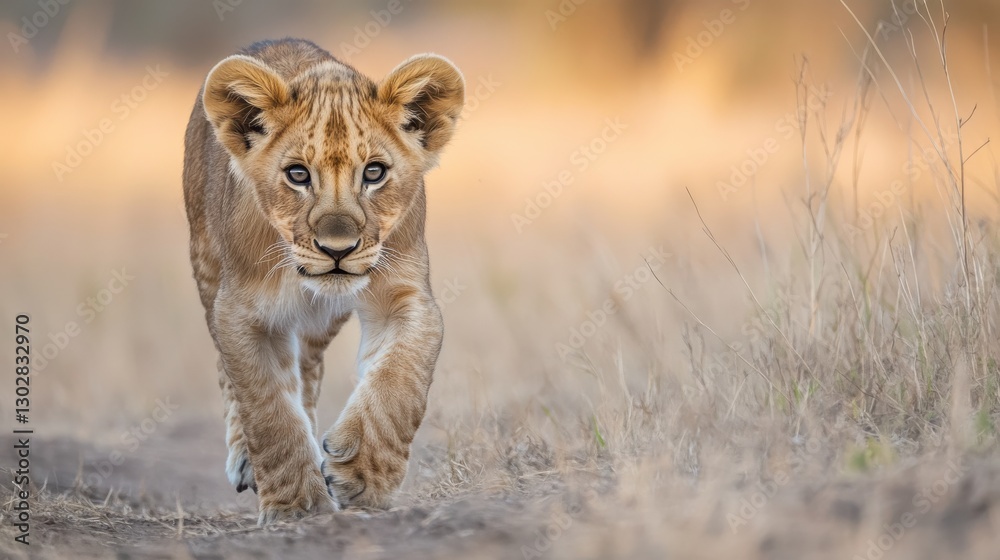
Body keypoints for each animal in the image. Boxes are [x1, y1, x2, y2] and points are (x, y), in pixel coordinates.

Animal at [182, 38, 463, 525]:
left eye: (374, 173)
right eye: (297, 174)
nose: (337, 249)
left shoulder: (405, 296)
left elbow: (399, 381)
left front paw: (362, 475)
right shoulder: (242, 311)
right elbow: (267, 409)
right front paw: (296, 507)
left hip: (321, 322)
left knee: (308, 371)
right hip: (206, 265)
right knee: (230, 369)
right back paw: (245, 460)